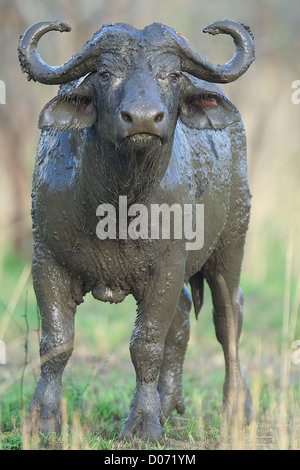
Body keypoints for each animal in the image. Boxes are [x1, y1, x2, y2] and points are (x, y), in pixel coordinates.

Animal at [17, 20, 254, 442]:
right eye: (105, 73)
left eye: (173, 75)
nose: (143, 118)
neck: (120, 205)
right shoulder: (46, 259)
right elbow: (56, 341)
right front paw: (42, 418)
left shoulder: (167, 267)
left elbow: (146, 344)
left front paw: (143, 423)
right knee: (182, 320)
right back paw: (169, 405)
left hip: (231, 245)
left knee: (228, 318)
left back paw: (235, 410)